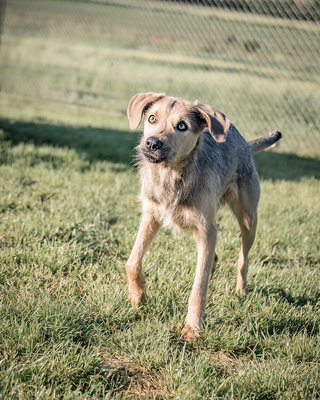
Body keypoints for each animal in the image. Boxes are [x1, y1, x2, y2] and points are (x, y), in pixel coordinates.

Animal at [125, 92, 282, 340]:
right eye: (151, 118)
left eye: (182, 126)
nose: (151, 143)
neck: (171, 174)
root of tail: (245, 144)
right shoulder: (152, 214)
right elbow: (132, 261)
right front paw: (138, 295)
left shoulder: (206, 228)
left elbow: (198, 288)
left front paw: (192, 328)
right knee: (214, 259)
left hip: (248, 220)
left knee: (243, 259)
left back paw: (241, 291)